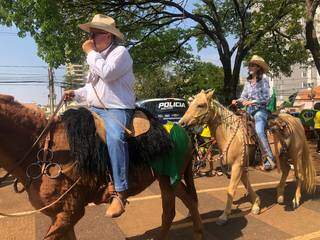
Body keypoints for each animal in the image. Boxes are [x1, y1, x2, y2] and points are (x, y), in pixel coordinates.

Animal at [0, 94, 202, 240]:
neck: (44, 150)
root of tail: (184, 131)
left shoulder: (70, 213)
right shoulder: (60, 216)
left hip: (168, 179)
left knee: (172, 211)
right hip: (171, 177)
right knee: (185, 204)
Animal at [179, 89, 316, 225]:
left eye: (201, 105)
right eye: (190, 104)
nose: (182, 123)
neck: (231, 133)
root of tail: (295, 120)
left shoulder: (237, 165)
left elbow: (231, 189)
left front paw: (224, 215)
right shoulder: (240, 166)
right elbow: (246, 184)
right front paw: (256, 204)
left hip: (296, 155)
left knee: (299, 175)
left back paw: (295, 200)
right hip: (281, 156)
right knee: (286, 170)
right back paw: (280, 196)